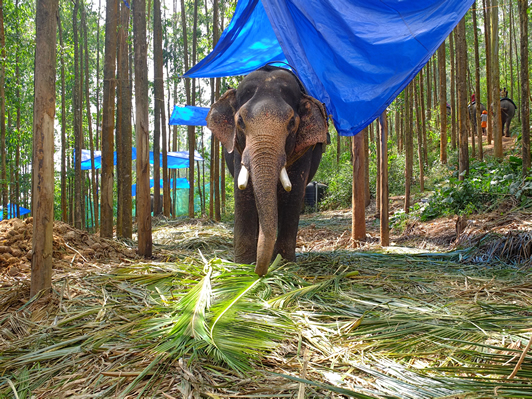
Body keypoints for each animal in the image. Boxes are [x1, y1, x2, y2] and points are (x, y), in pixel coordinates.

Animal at [208, 65, 328, 278]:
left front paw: (284, 263)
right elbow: (243, 194)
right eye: (240, 121)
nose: (260, 273)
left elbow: (294, 193)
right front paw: (243, 264)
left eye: (292, 122)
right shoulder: (239, 150)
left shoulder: (305, 150)